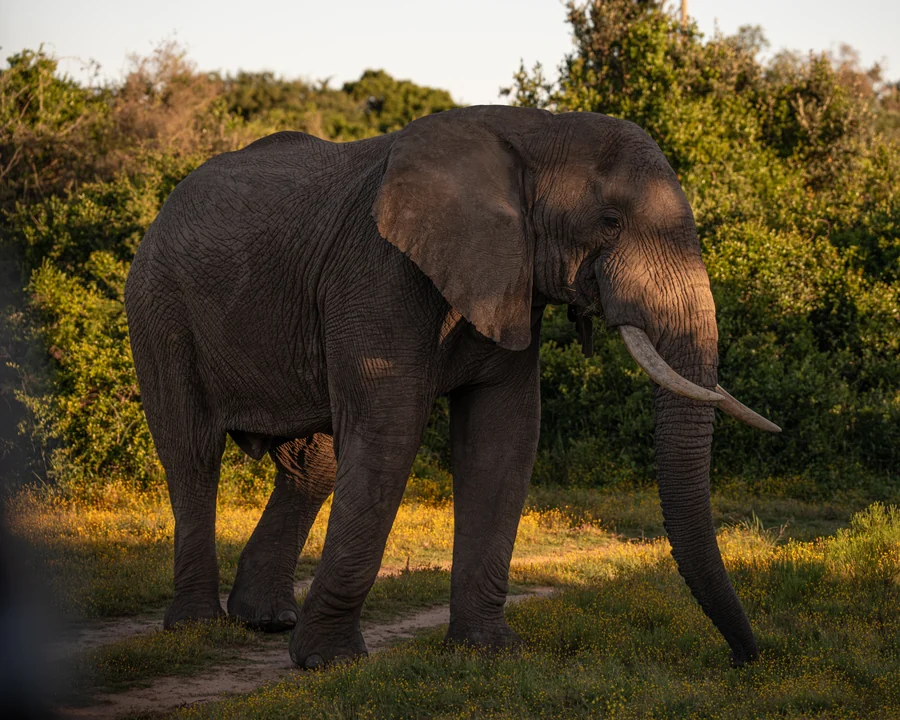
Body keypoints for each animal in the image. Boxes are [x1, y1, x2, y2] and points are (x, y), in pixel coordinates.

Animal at [124, 105, 779, 668]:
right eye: (610, 222)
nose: (746, 659)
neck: (535, 134)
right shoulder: (378, 272)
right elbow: (390, 430)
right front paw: (330, 664)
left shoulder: (509, 278)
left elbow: (504, 434)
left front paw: (489, 653)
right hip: (159, 308)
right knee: (192, 453)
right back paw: (197, 628)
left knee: (311, 466)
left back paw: (265, 620)